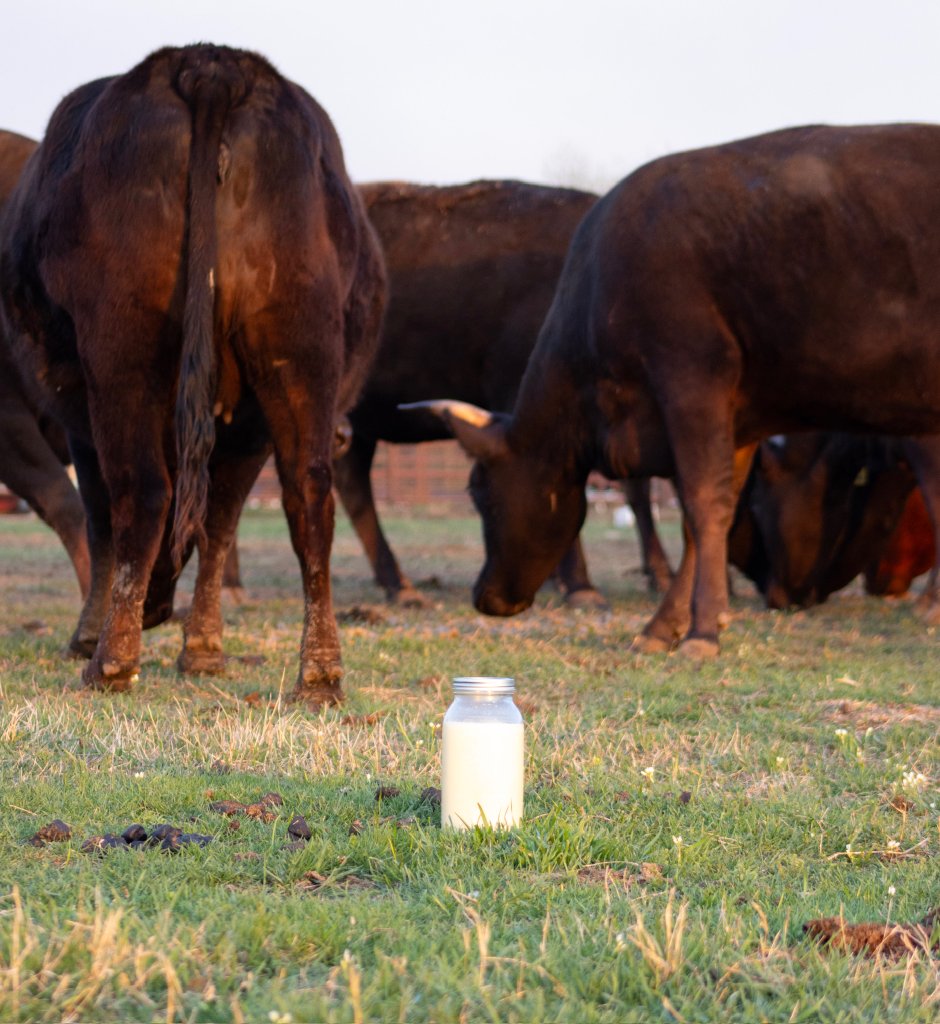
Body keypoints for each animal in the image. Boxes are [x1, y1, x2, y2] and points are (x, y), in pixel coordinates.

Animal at [0, 45, 386, 704]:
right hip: (299, 347)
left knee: (142, 491)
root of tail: (209, 63)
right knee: (309, 496)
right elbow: (219, 524)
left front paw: (90, 634)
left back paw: (110, 661)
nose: (157, 610)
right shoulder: (248, 427)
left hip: (122, 351)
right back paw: (320, 674)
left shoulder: (79, 414)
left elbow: (103, 518)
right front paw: (204, 648)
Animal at [410, 124, 940, 657]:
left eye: (479, 492)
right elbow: (699, 519)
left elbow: (703, 505)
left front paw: (703, 630)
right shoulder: (738, 417)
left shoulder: (692, 379)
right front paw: (663, 627)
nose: (486, 597)